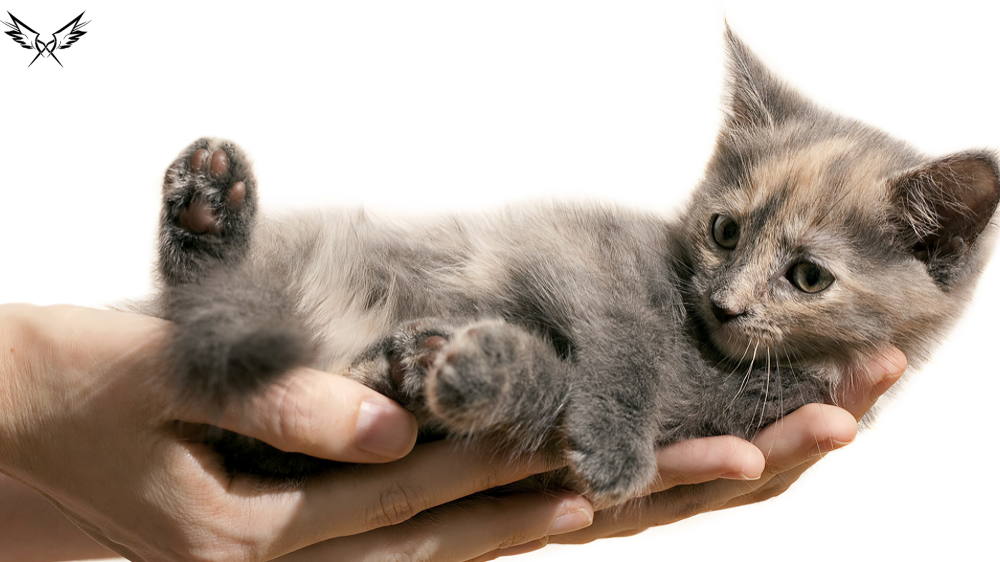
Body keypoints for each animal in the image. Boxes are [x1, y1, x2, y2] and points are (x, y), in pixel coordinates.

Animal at [150, 28, 1000, 506]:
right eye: (724, 231)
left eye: (809, 278)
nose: (724, 302)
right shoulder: (572, 242)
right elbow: (624, 337)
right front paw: (614, 444)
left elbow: (560, 390)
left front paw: (465, 369)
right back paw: (208, 214)